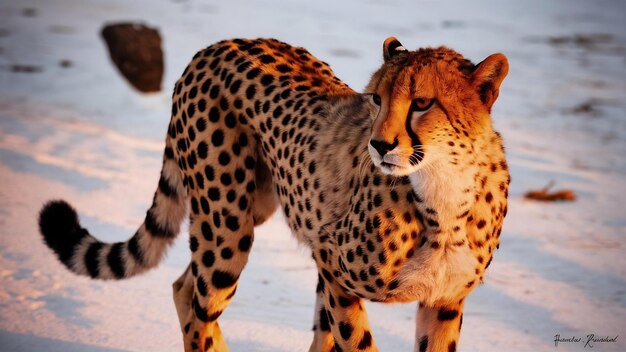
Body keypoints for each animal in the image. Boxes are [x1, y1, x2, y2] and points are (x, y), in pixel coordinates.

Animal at [37, 37, 508, 350]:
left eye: (422, 103)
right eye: (376, 98)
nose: (378, 144)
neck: (444, 188)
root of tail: (215, 46)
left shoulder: (444, 300)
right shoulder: (330, 259)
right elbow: (355, 338)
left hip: (254, 206)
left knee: (184, 285)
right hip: (226, 228)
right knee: (197, 305)